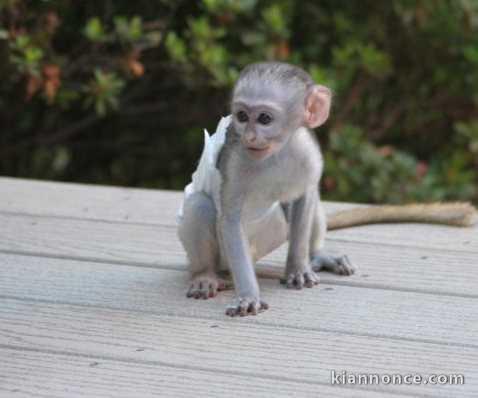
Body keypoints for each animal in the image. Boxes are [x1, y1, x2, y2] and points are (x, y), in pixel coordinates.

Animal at [176, 62, 478, 318]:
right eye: (241, 116)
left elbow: (304, 197)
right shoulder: (236, 160)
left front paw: (298, 267)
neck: (275, 154)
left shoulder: (307, 153)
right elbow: (231, 219)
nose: (249, 136)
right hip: (228, 256)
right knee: (201, 206)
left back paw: (318, 254)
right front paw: (249, 295)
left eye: (264, 119)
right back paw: (204, 275)